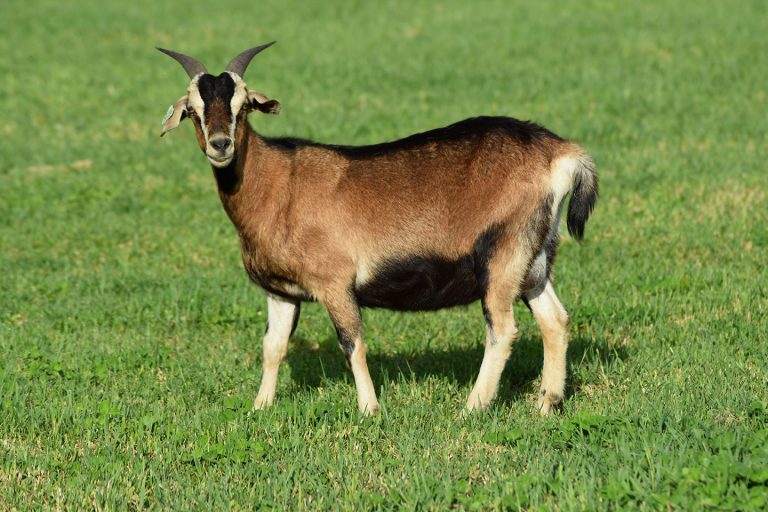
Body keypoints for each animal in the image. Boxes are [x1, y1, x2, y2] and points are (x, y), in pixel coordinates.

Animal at [157, 42, 598, 416]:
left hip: (503, 251)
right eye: (194, 110)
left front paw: (369, 409)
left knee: (503, 329)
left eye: (243, 106)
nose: (221, 145)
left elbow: (352, 343)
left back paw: (472, 408)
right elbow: (273, 347)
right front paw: (259, 408)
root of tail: (560, 153)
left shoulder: (335, 283)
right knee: (555, 320)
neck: (279, 184)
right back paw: (546, 404)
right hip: (534, 258)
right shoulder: (280, 291)